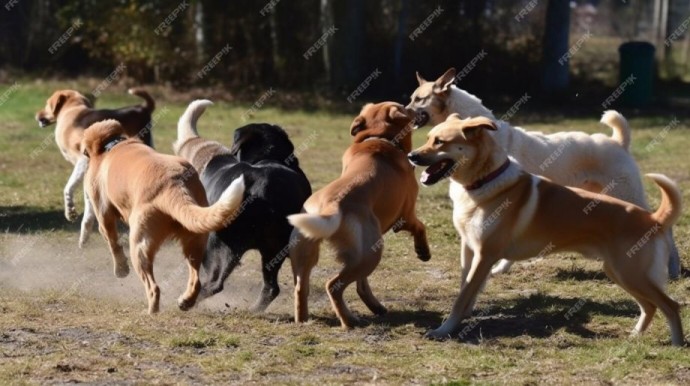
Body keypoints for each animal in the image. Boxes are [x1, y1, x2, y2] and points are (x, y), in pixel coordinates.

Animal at [35, 88, 155, 247]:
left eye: (47, 104)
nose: (37, 115)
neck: (71, 109)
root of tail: (142, 108)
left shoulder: (83, 161)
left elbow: (68, 188)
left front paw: (70, 212)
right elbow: (88, 207)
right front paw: (84, 236)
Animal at [81, 120, 245, 314]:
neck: (111, 145)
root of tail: (174, 183)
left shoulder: (103, 215)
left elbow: (113, 244)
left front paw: (121, 270)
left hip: (139, 245)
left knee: (154, 287)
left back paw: (150, 311)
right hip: (195, 241)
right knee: (196, 280)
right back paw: (185, 301)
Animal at [286, 101, 428, 328]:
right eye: (406, 107)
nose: (421, 109)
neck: (380, 137)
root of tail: (331, 207)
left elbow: (363, 285)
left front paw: (374, 306)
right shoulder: (405, 216)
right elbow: (420, 227)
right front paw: (423, 251)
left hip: (308, 253)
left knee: (302, 287)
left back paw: (304, 321)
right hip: (371, 253)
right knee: (333, 285)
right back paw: (348, 321)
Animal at [406, 67, 680, 278]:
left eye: (418, 99)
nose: (402, 110)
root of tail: (618, 142)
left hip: (628, 194)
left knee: (665, 229)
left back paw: (673, 269)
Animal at [408, 113, 684, 346]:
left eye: (440, 142)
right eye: (429, 137)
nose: (411, 156)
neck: (485, 182)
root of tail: (652, 219)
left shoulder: (485, 255)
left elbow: (462, 297)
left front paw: (444, 330)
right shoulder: (469, 250)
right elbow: (466, 290)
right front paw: (460, 320)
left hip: (631, 273)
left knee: (670, 305)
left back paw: (677, 343)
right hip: (620, 272)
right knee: (650, 306)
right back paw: (635, 335)